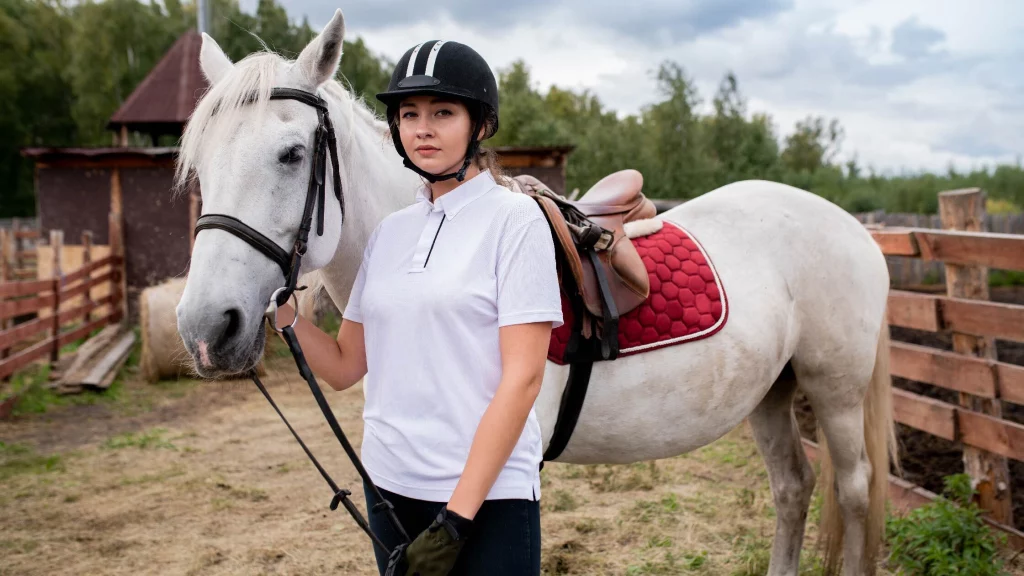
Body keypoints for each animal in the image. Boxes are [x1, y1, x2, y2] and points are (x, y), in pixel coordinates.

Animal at [174, 10, 897, 573]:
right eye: (200, 163)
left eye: (292, 153)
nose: (206, 328)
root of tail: (852, 227)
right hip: (771, 393)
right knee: (793, 488)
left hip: (834, 389)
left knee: (854, 491)